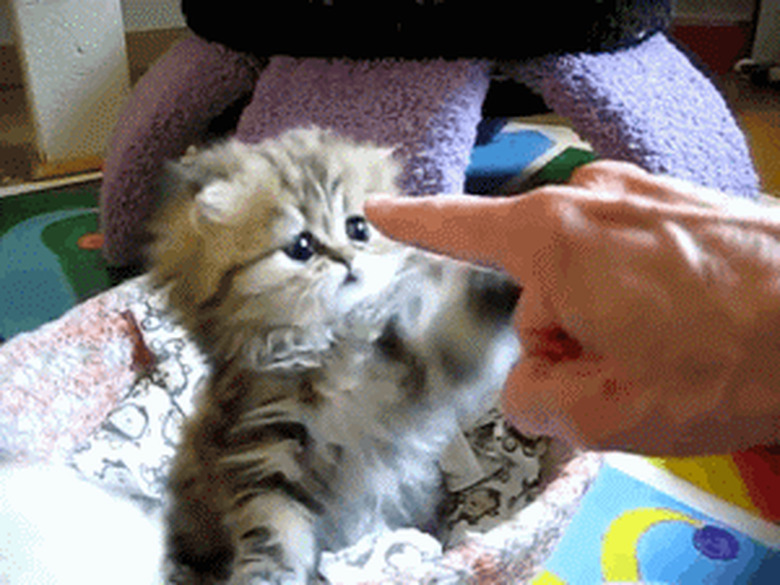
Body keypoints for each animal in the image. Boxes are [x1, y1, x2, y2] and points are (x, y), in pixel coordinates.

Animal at [149, 129, 520, 584]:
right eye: (301, 246)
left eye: (357, 227)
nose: (347, 258)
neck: (332, 349)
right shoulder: (265, 450)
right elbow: (273, 532)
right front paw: (267, 576)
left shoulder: (413, 378)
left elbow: (455, 337)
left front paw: (499, 287)